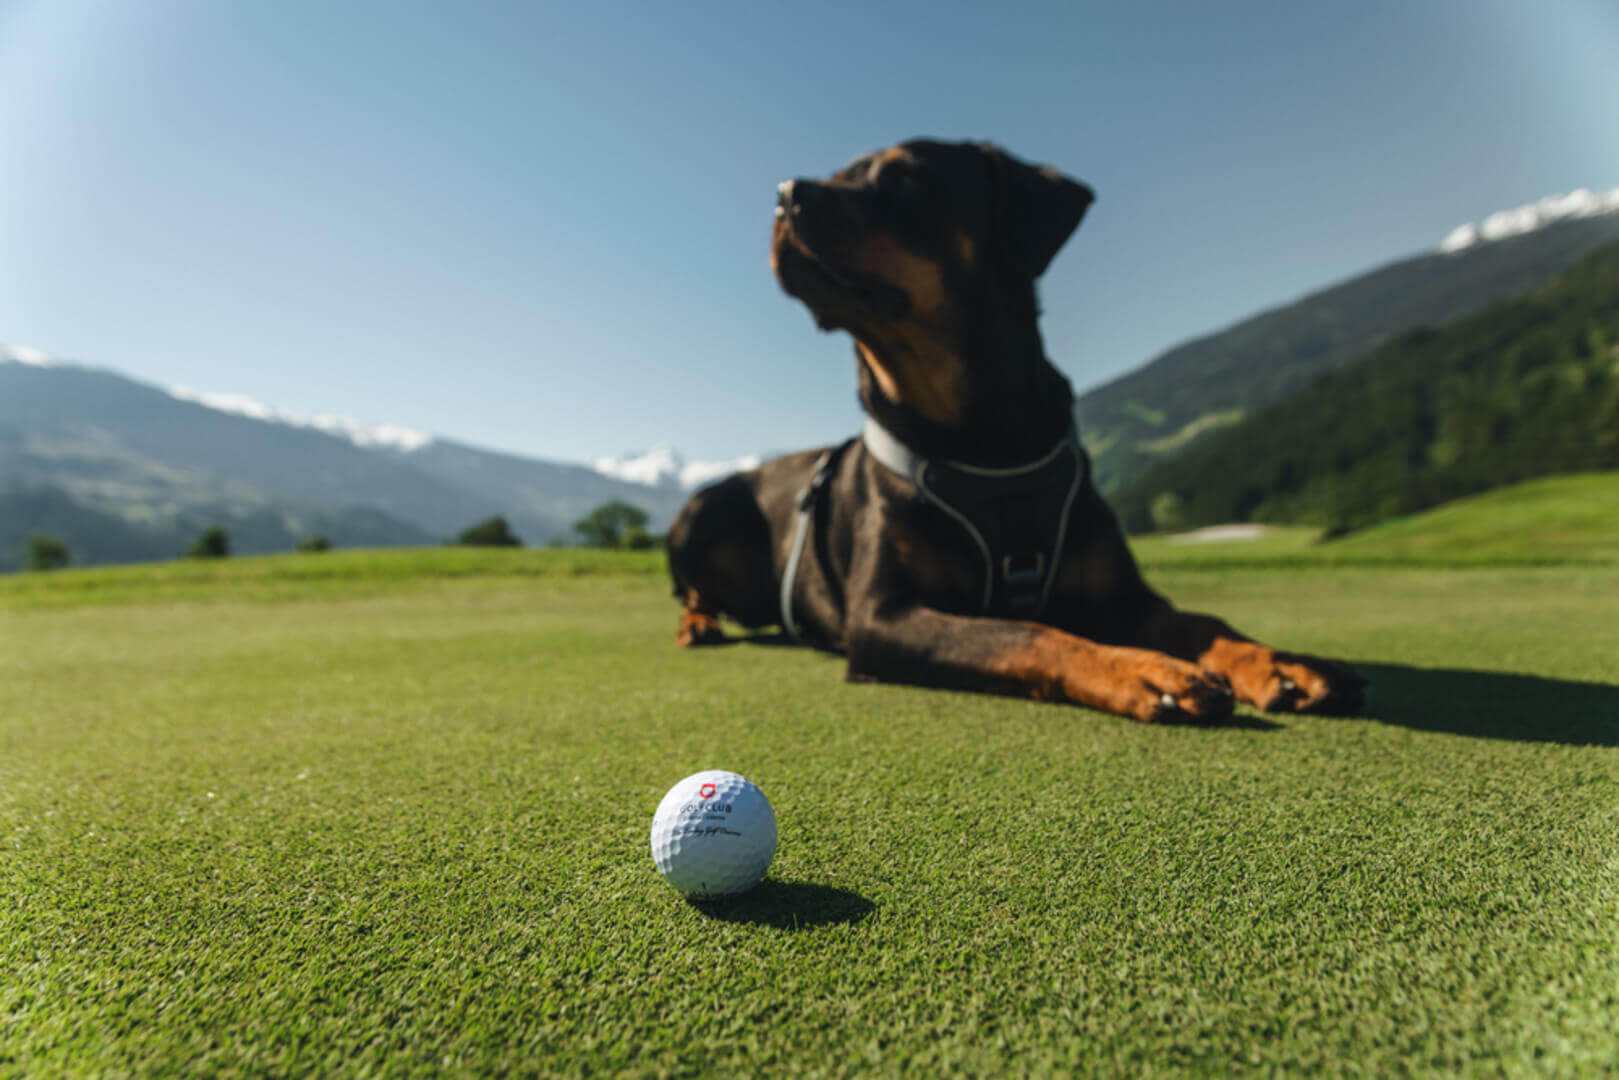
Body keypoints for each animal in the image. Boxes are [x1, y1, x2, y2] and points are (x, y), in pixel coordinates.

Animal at [663, 137, 1359, 725]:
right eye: (838, 174)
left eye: (905, 179)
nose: (786, 194)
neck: (987, 443)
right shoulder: (881, 616)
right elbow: (1025, 631)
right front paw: (1143, 670)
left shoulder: (1124, 596)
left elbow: (1201, 621)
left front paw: (1277, 663)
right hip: (703, 507)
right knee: (691, 589)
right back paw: (697, 625)